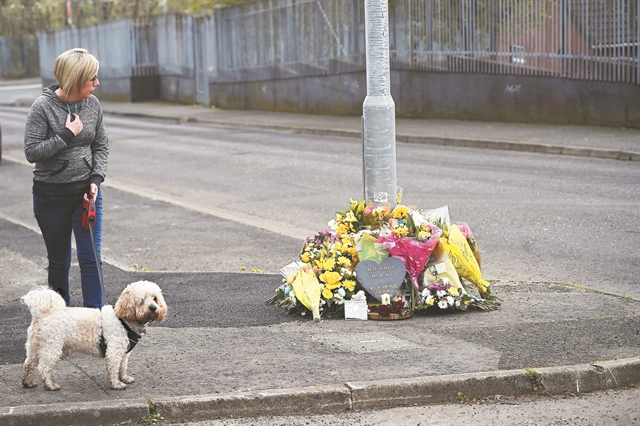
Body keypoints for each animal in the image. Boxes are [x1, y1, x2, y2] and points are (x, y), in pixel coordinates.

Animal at [21, 282, 168, 392]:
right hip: (51, 349)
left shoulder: (124, 353)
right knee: (43, 369)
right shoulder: (114, 352)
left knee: (28, 364)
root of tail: (41, 316)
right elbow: (114, 369)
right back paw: (50, 385)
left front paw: (124, 378)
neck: (124, 320)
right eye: (142, 300)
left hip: (34, 349)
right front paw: (116, 384)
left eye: (155, 299)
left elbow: (122, 367)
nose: (153, 307)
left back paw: (28, 382)